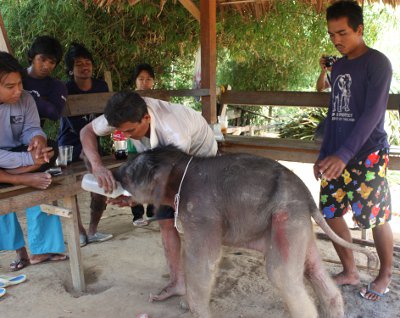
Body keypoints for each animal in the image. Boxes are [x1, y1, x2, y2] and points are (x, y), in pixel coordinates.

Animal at [115, 147, 376, 318]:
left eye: (129, 172)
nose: (113, 174)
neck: (181, 164)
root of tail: (309, 198)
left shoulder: (203, 213)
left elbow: (203, 261)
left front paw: (196, 311)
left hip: (287, 217)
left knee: (281, 275)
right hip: (298, 223)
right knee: (312, 268)